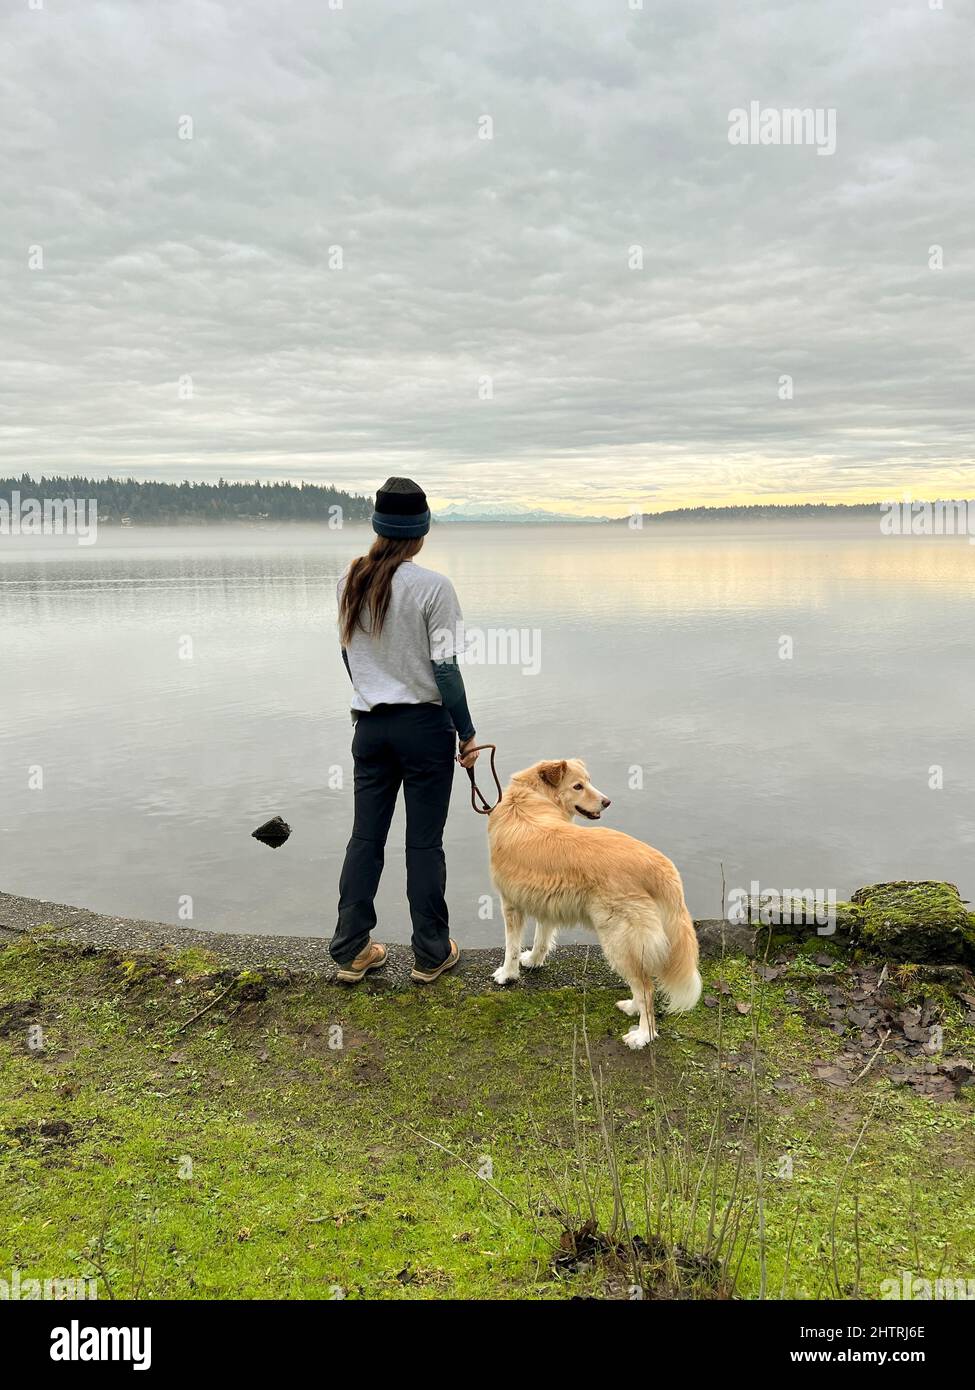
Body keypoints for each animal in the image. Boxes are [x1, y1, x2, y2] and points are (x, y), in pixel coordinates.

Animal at [486, 767, 700, 1045]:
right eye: (578, 786)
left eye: (586, 783)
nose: (607, 802)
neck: (528, 799)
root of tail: (659, 865)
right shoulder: (546, 901)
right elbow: (541, 939)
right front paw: (533, 961)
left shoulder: (510, 904)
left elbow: (510, 947)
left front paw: (506, 975)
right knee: (643, 985)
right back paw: (631, 1007)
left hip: (618, 941)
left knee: (647, 990)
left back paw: (643, 1035)